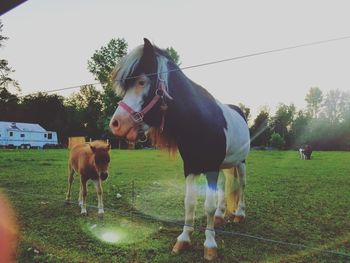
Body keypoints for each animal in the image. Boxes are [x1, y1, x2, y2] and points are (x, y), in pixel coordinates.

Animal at [109, 39, 249, 262]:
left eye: (141, 82)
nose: (115, 124)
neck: (199, 122)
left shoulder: (210, 168)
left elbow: (207, 206)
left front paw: (210, 245)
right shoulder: (191, 168)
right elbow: (189, 203)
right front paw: (183, 239)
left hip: (240, 163)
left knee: (242, 185)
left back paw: (239, 214)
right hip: (224, 165)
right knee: (224, 186)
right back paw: (220, 216)